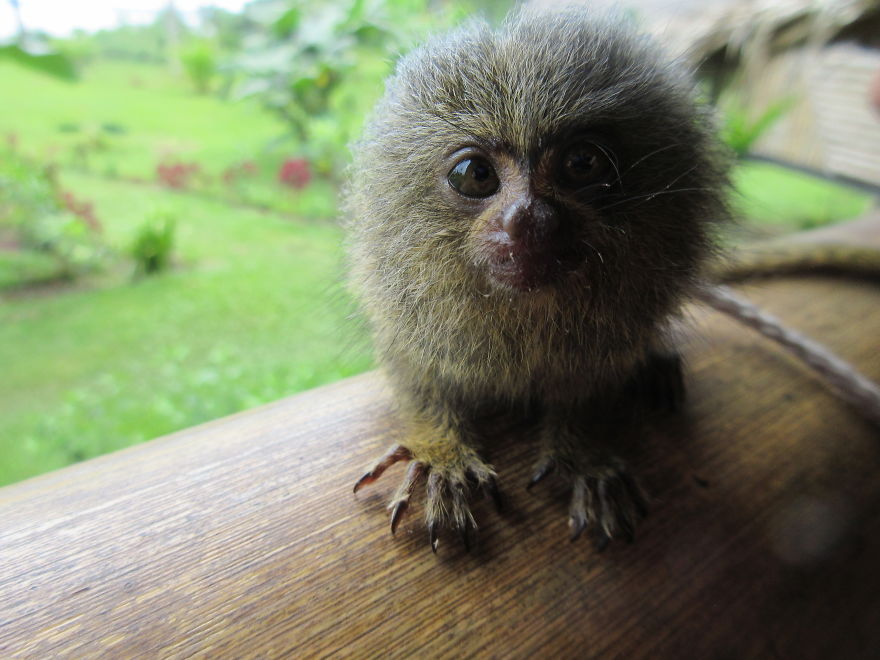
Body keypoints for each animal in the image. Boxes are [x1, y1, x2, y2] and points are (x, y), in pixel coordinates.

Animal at [344, 7, 880, 552]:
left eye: (583, 163)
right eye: (475, 174)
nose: (528, 218)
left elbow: (596, 387)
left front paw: (585, 454)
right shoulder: (411, 316)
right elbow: (413, 374)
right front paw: (440, 453)